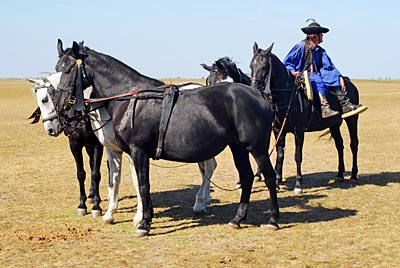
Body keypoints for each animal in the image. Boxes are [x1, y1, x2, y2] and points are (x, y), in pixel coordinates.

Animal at [28, 74, 104, 217]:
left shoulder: (98, 145)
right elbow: (81, 174)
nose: (50, 130)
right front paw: (82, 205)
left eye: (44, 100)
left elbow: (96, 174)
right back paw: (91, 195)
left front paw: (97, 207)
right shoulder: (74, 144)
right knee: (91, 164)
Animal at [52, 40, 278, 237]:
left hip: (257, 148)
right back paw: (237, 219)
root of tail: (258, 95)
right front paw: (140, 218)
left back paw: (273, 220)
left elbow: (143, 185)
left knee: (268, 176)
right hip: (238, 147)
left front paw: (143, 223)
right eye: (56, 68)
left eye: (68, 69)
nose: (61, 105)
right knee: (247, 177)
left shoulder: (138, 151)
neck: (130, 99)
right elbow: (129, 182)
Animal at [250, 42, 362, 193]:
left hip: (352, 120)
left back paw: (354, 175)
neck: (287, 96)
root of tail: (350, 82)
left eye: (264, 67)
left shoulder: (299, 131)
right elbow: (280, 155)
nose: (253, 89)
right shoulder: (278, 130)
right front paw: (278, 182)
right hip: (334, 125)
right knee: (339, 144)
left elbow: (298, 156)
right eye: (251, 66)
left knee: (353, 144)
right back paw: (339, 174)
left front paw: (298, 184)